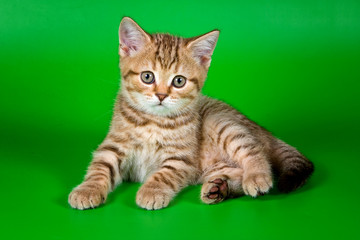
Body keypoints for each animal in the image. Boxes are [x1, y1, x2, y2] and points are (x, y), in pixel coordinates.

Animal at [69, 16, 314, 210]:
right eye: (147, 77)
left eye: (179, 81)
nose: (161, 95)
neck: (153, 122)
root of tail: (266, 133)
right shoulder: (113, 146)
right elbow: (100, 168)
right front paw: (87, 190)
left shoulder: (181, 158)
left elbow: (165, 173)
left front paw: (152, 190)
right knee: (235, 173)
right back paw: (219, 188)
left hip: (221, 123)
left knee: (254, 152)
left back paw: (257, 177)